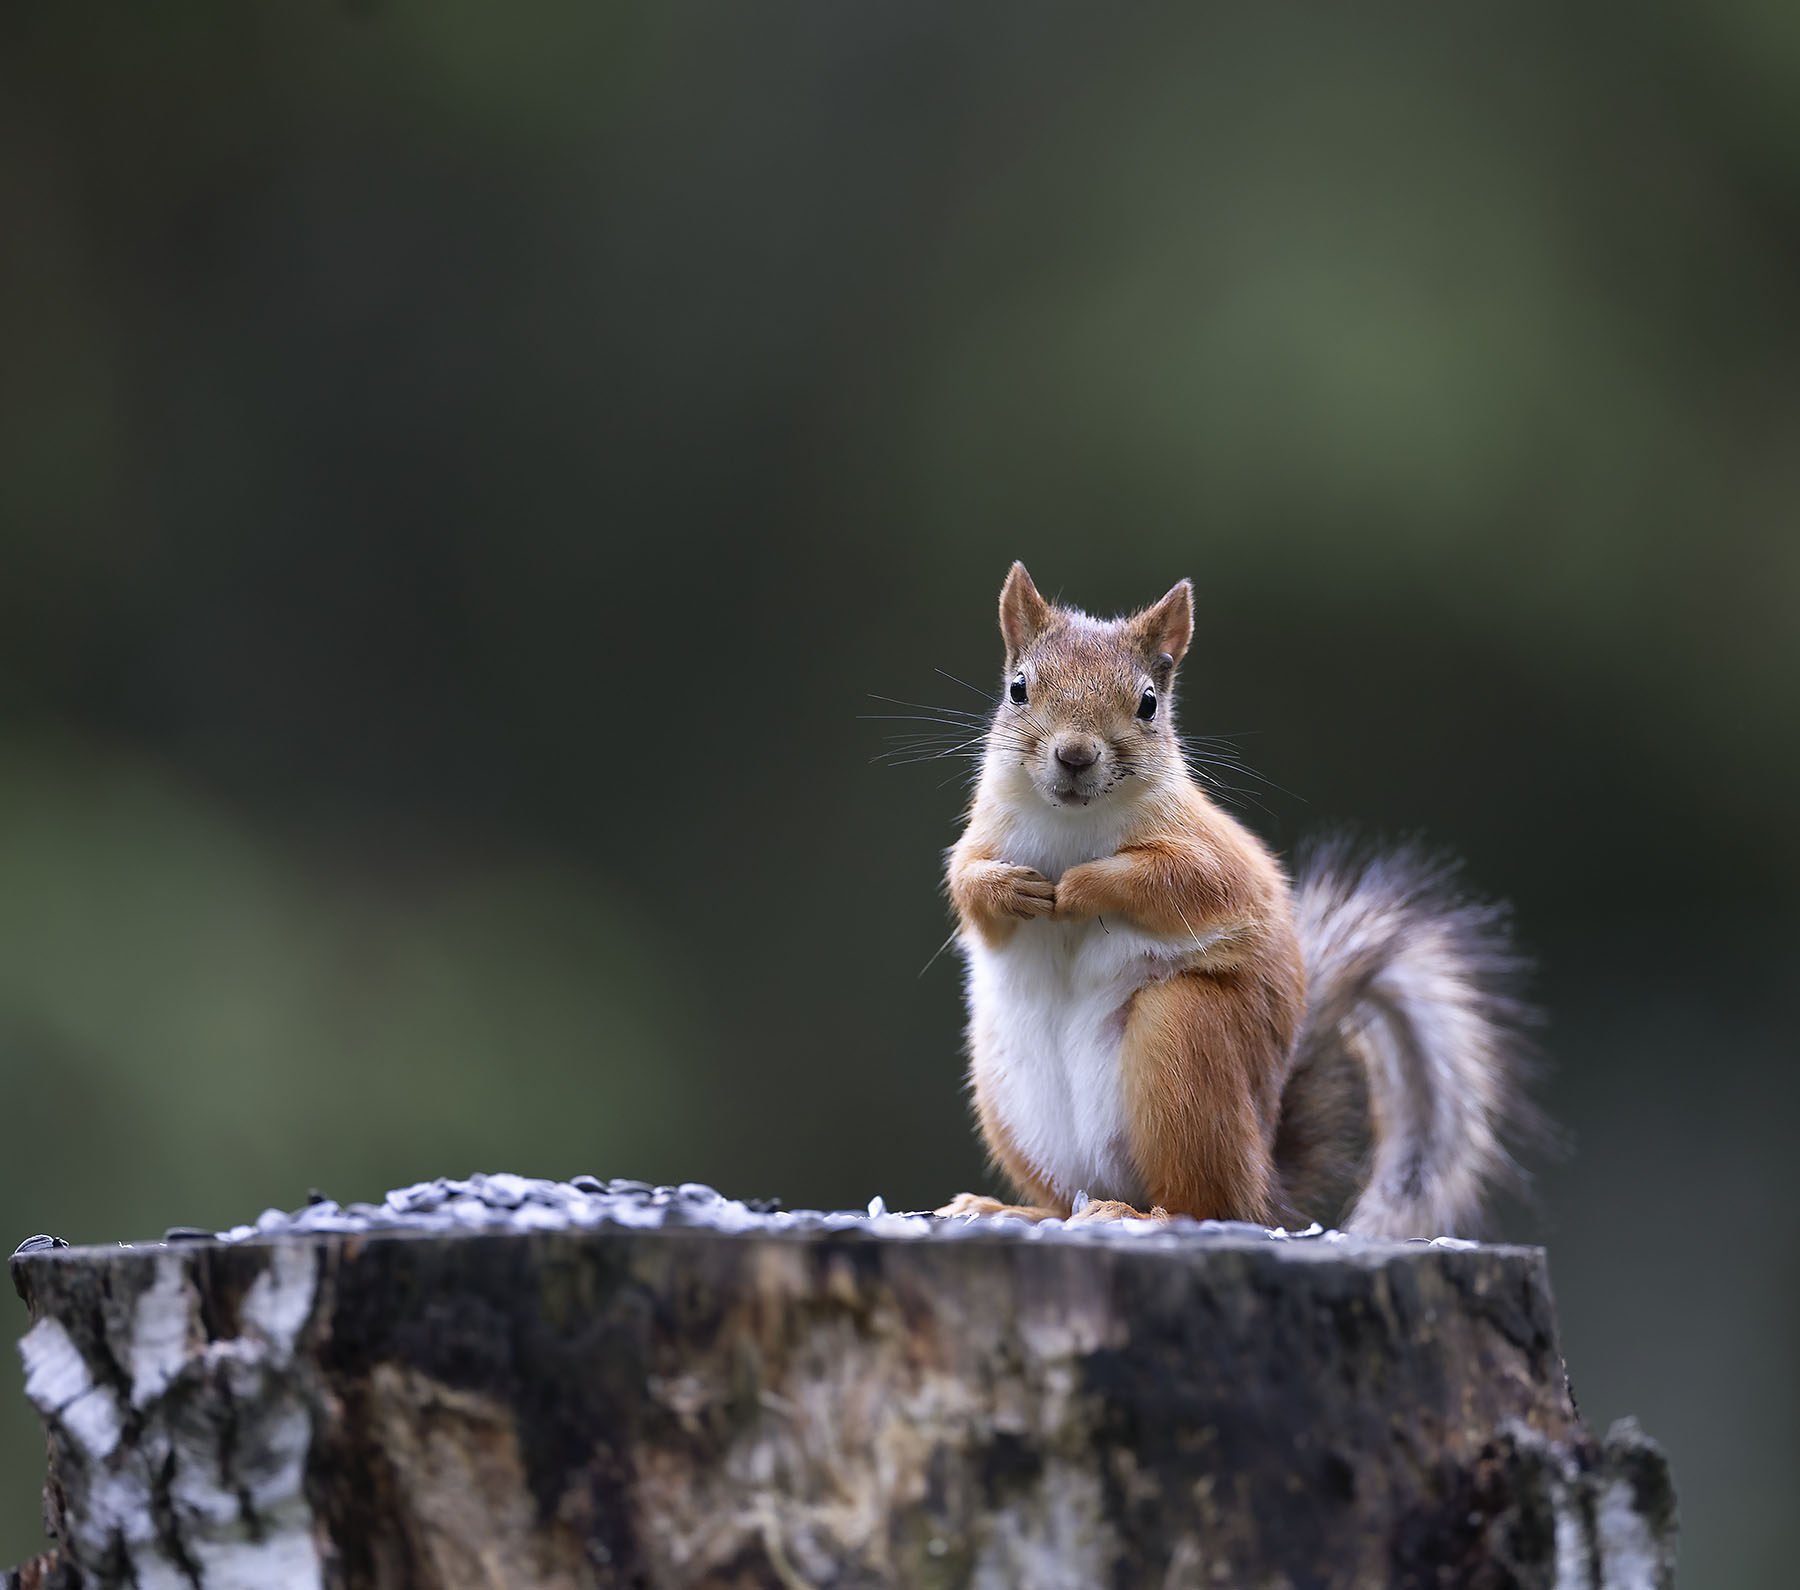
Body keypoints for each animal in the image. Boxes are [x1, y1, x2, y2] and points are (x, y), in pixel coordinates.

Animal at [934, 563, 1535, 1235]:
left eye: (1148, 702)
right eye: (1018, 688)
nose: (1075, 754)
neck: (1071, 822)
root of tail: (1263, 1174)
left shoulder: (1213, 857)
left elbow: (1174, 880)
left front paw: (1085, 886)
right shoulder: (985, 835)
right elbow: (967, 886)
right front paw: (1009, 887)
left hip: (1184, 1037)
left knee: (1207, 1201)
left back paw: (1141, 1215)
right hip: (1011, 1099)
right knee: (1069, 1198)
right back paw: (1015, 1208)